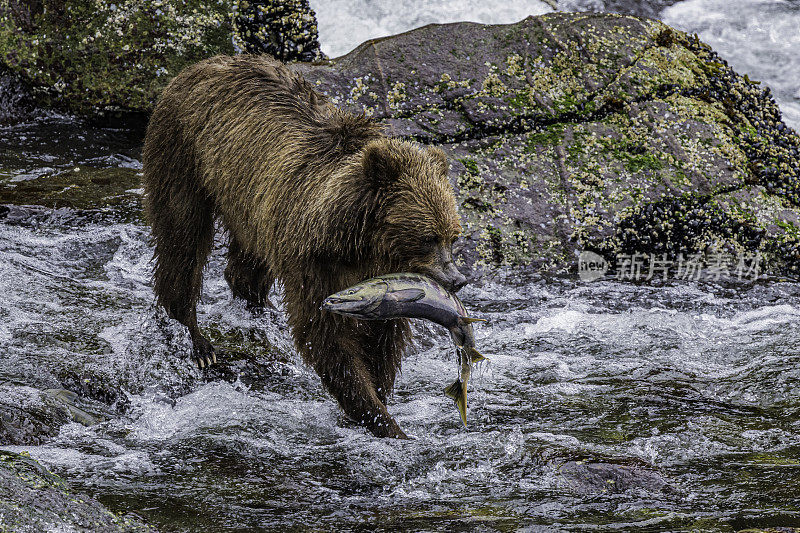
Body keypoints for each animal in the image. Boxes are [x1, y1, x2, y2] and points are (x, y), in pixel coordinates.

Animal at [142, 55, 468, 436]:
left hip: (249, 203)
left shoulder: (382, 284)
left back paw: (258, 307)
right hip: (184, 154)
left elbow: (382, 338)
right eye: (428, 237)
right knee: (183, 237)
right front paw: (379, 416)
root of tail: (198, 65)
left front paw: (379, 397)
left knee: (247, 259)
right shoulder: (312, 262)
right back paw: (198, 340)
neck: (357, 242)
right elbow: (324, 336)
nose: (457, 280)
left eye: (453, 235)